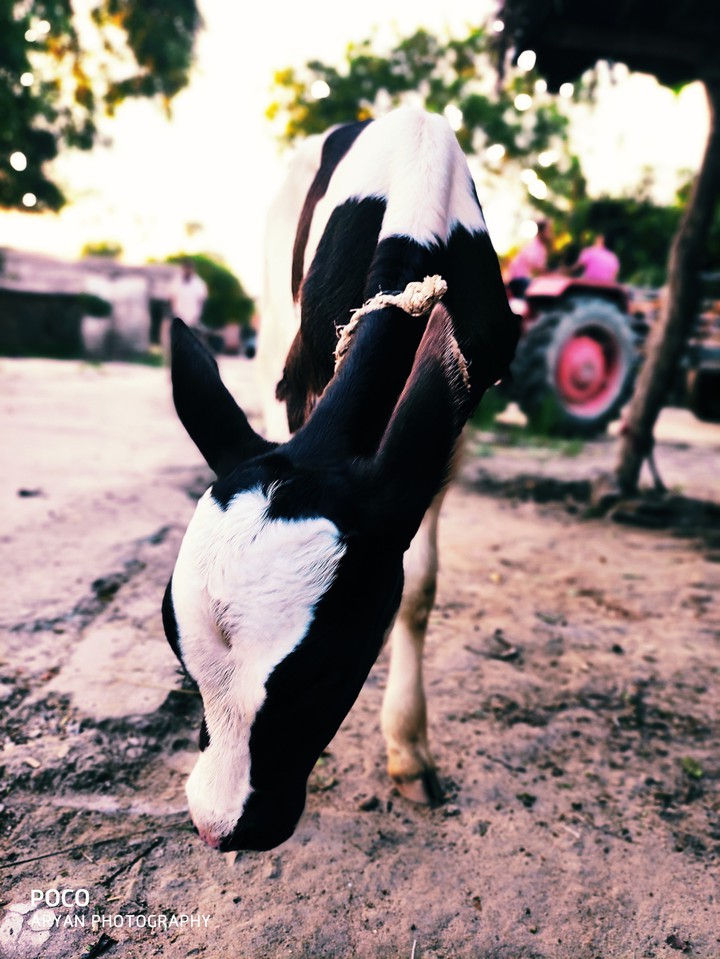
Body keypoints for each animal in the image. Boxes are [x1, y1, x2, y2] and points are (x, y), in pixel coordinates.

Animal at [162, 107, 519, 852]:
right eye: (178, 654)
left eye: (324, 673)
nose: (218, 826)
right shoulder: (299, 382)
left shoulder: (457, 414)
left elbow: (419, 585)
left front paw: (409, 750)